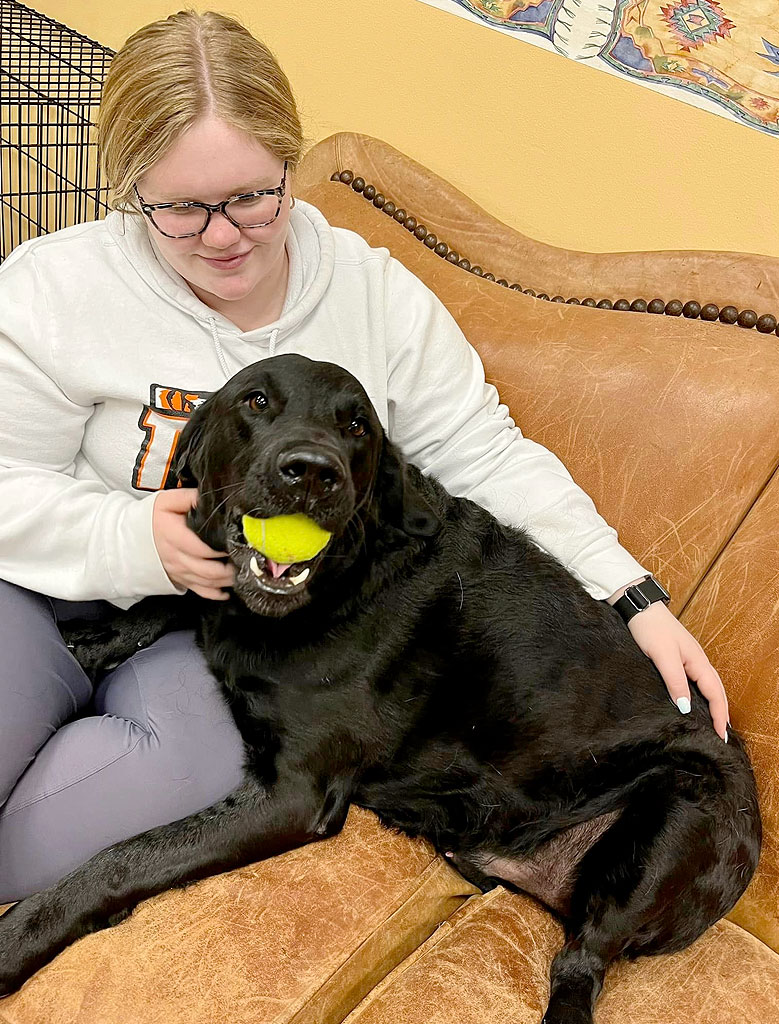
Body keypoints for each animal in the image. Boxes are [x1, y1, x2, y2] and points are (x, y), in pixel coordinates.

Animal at [0, 354, 757, 1024]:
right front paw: (98, 637)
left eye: (357, 425)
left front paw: (20, 937)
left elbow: (124, 856)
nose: (311, 472)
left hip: (678, 816)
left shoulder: (290, 794)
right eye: (256, 401)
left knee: (580, 967)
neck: (337, 582)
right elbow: (176, 590)